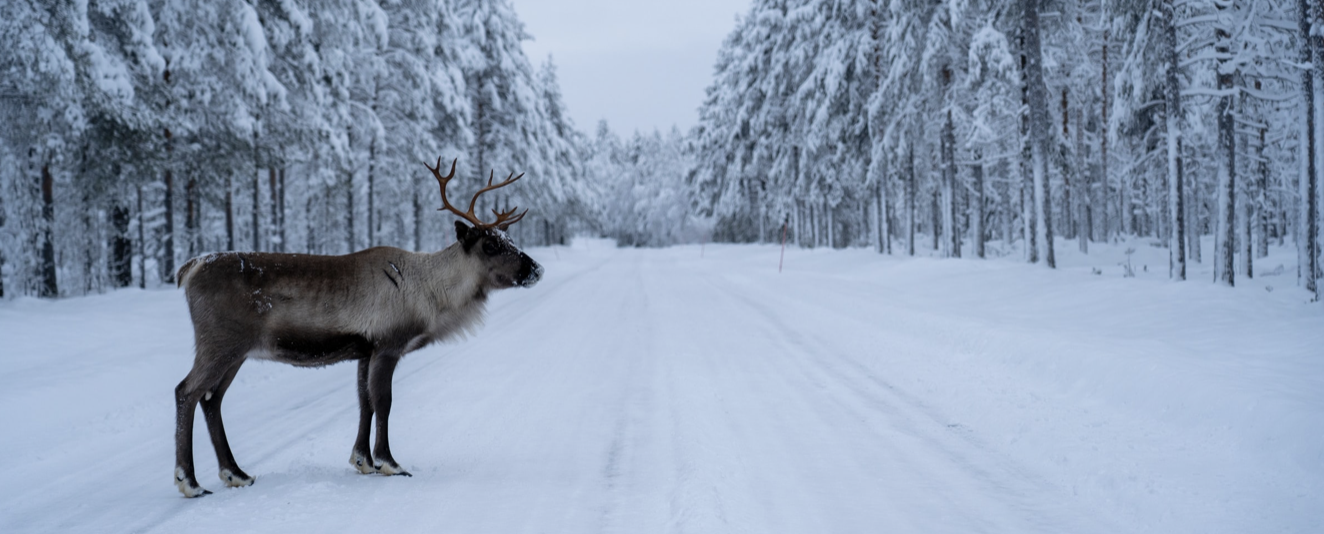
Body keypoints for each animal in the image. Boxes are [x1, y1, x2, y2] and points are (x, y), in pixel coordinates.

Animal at [172, 158, 542, 497]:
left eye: (510, 238)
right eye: (490, 245)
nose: (535, 268)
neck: (431, 293)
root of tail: (190, 268)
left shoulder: (365, 350)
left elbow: (364, 400)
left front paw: (363, 460)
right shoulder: (388, 344)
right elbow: (384, 400)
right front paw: (389, 462)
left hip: (237, 352)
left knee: (212, 400)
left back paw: (235, 473)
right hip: (220, 343)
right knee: (186, 391)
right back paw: (189, 481)